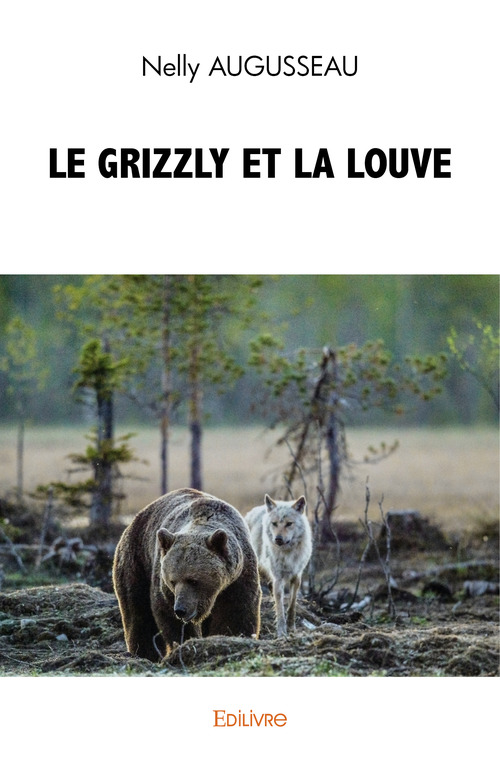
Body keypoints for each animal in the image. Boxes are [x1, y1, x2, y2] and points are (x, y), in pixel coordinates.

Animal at [112, 488, 261, 662]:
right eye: (172, 581)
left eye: (194, 580)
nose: (181, 609)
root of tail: (132, 522)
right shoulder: (163, 584)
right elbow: (169, 616)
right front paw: (185, 644)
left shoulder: (238, 577)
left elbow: (236, 612)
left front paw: (230, 637)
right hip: (136, 562)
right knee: (137, 611)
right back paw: (144, 653)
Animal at [246, 494, 312, 637]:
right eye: (274, 523)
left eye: (289, 524)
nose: (278, 539)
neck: (287, 554)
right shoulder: (278, 579)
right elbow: (280, 608)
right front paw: (281, 632)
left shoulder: (296, 577)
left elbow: (292, 605)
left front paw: (291, 627)